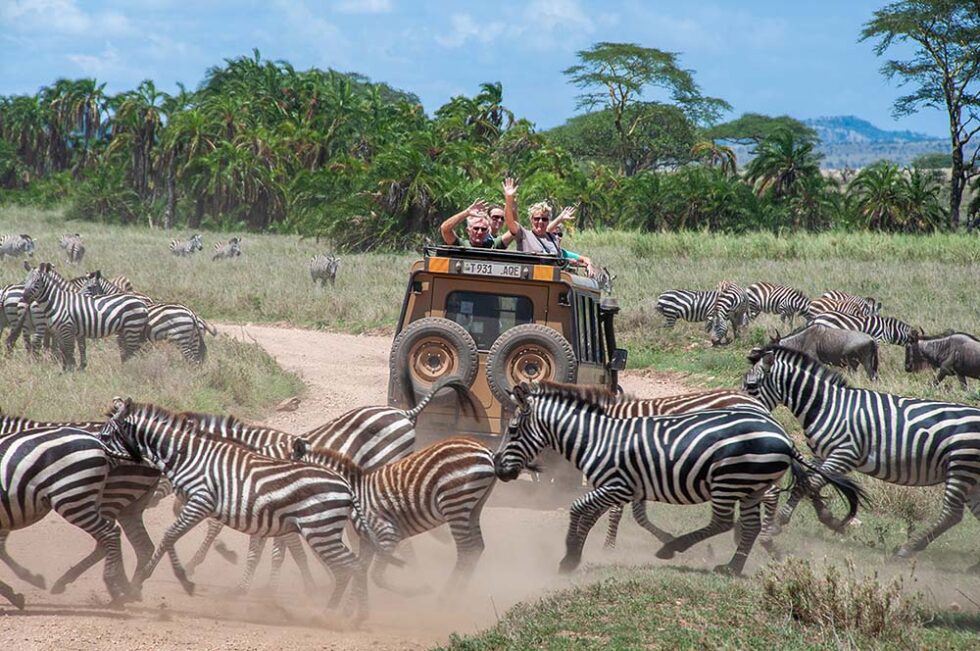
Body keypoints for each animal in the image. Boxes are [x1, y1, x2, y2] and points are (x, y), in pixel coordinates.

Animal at [98, 398, 398, 625]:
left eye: (106, 434)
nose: (97, 450)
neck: (190, 456)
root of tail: (346, 485)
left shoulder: (202, 501)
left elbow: (170, 536)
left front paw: (142, 583)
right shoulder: (211, 505)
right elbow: (175, 537)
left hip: (320, 530)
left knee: (351, 565)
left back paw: (341, 615)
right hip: (322, 530)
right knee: (350, 565)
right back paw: (345, 613)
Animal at [294, 436, 496, 596]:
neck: (356, 491)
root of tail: (486, 450)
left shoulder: (388, 533)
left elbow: (376, 576)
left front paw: (418, 590)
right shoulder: (368, 541)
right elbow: (362, 569)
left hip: (455, 503)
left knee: (466, 549)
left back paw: (447, 597)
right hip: (473, 506)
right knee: (477, 547)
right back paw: (458, 594)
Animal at [493, 382, 862, 576]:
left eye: (512, 430)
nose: (497, 468)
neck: (598, 436)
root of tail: (783, 436)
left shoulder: (617, 484)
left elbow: (581, 509)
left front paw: (570, 555)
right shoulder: (626, 486)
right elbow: (608, 515)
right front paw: (580, 552)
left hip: (728, 480)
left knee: (723, 522)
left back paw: (676, 548)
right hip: (750, 486)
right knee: (750, 524)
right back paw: (733, 565)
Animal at [744, 345, 980, 568]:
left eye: (751, 386)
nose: (743, 408)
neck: (824, 406)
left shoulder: (844, 455)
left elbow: (807, 485)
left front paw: (778, 523)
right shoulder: (822, 456)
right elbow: (810, 486)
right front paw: (830, 519)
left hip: (961, 466)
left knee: (951, 513)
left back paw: (906, 550)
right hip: (971, 477)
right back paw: (972, 568)